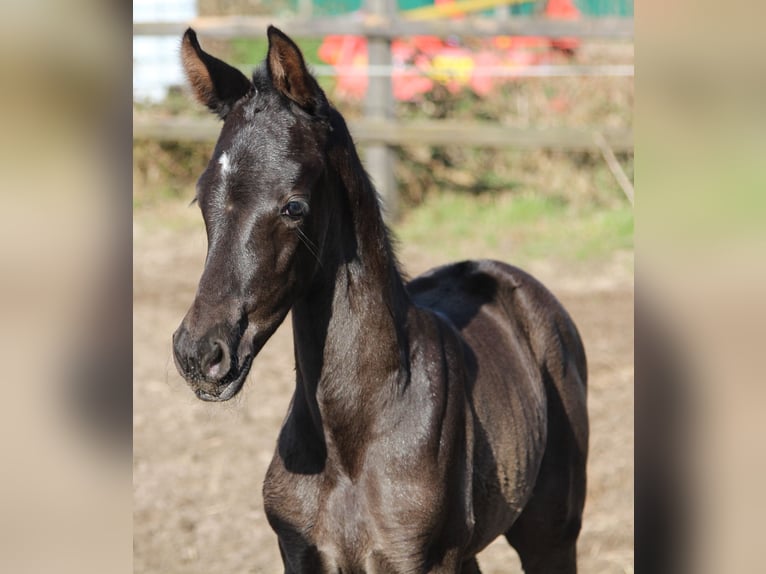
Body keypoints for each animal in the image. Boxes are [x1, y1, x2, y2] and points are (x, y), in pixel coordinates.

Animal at [172, 26, 588, 574]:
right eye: (202, 197)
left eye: (294, 206)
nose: (200, 354)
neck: (351, 439)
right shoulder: (300, 554)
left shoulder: (423, 561)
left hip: (551, 533)